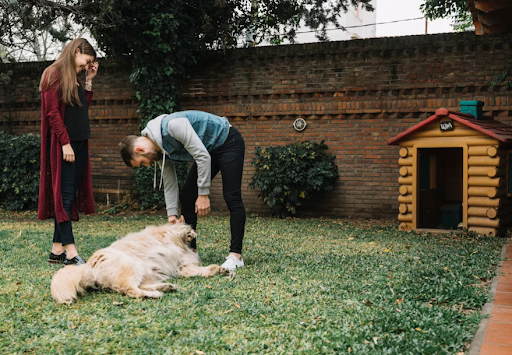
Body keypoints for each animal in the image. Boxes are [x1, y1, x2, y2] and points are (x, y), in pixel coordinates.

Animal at [51, 225, 229, 304]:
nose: (194, 237)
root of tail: (89, 267)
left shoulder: (184, 267)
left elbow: (205, 269)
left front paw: (221, 270)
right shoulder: (165, 234)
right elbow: (174, 229)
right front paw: (187, 231)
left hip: (144, 272)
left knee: (140, 287)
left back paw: (165, 287)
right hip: (131, 265)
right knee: (131, 290)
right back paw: (156, 294)